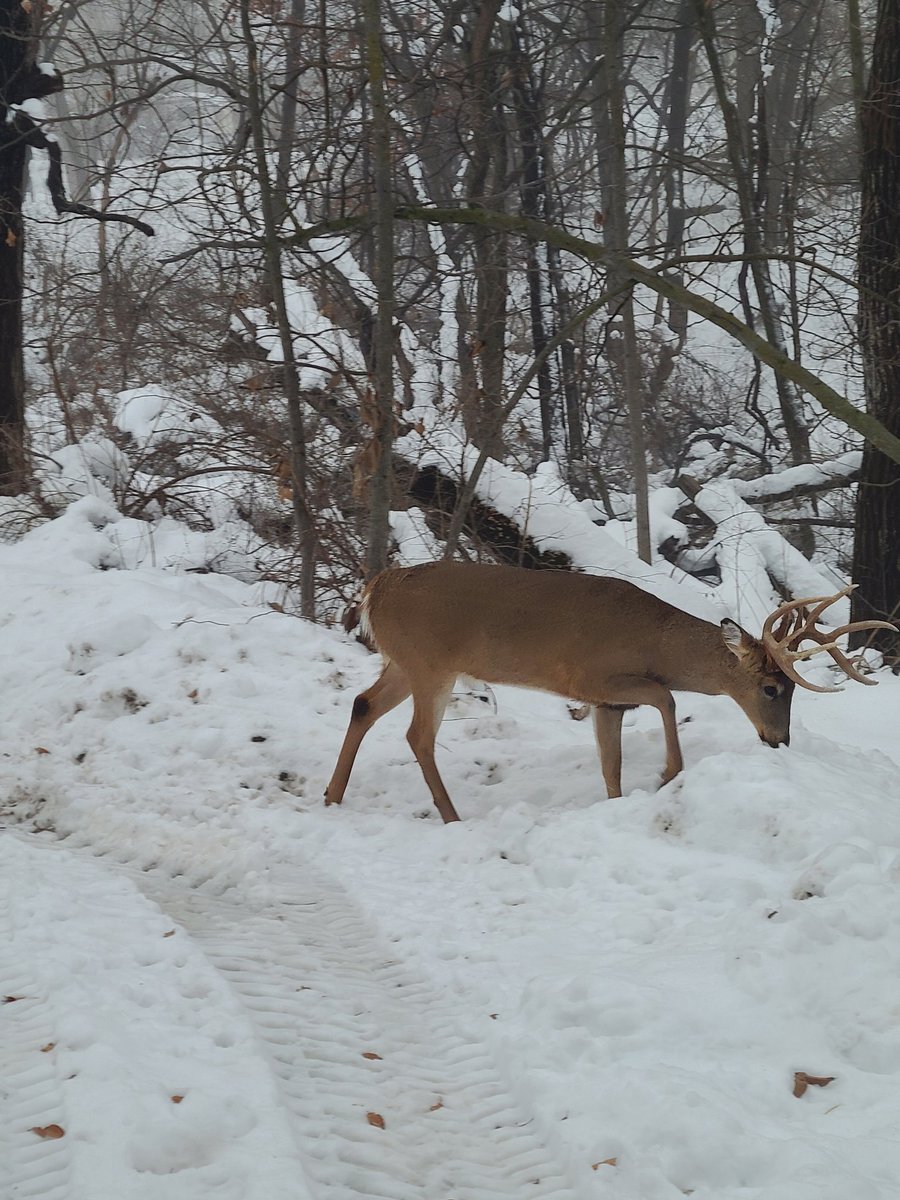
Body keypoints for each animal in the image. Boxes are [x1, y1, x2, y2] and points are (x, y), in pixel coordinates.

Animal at [324, 560, 895, 823]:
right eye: (773, 688)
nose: (780, 741)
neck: (654, 641)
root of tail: (375, 588)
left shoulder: (605, 702)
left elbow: (610, 765)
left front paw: (618, 805)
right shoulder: (592, 678)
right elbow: (667, 699)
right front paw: (667, 774)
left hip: (403, 661)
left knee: (363, 705)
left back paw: (332, 795)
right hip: (430, 663)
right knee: (417, 735)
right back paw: (451, 816)